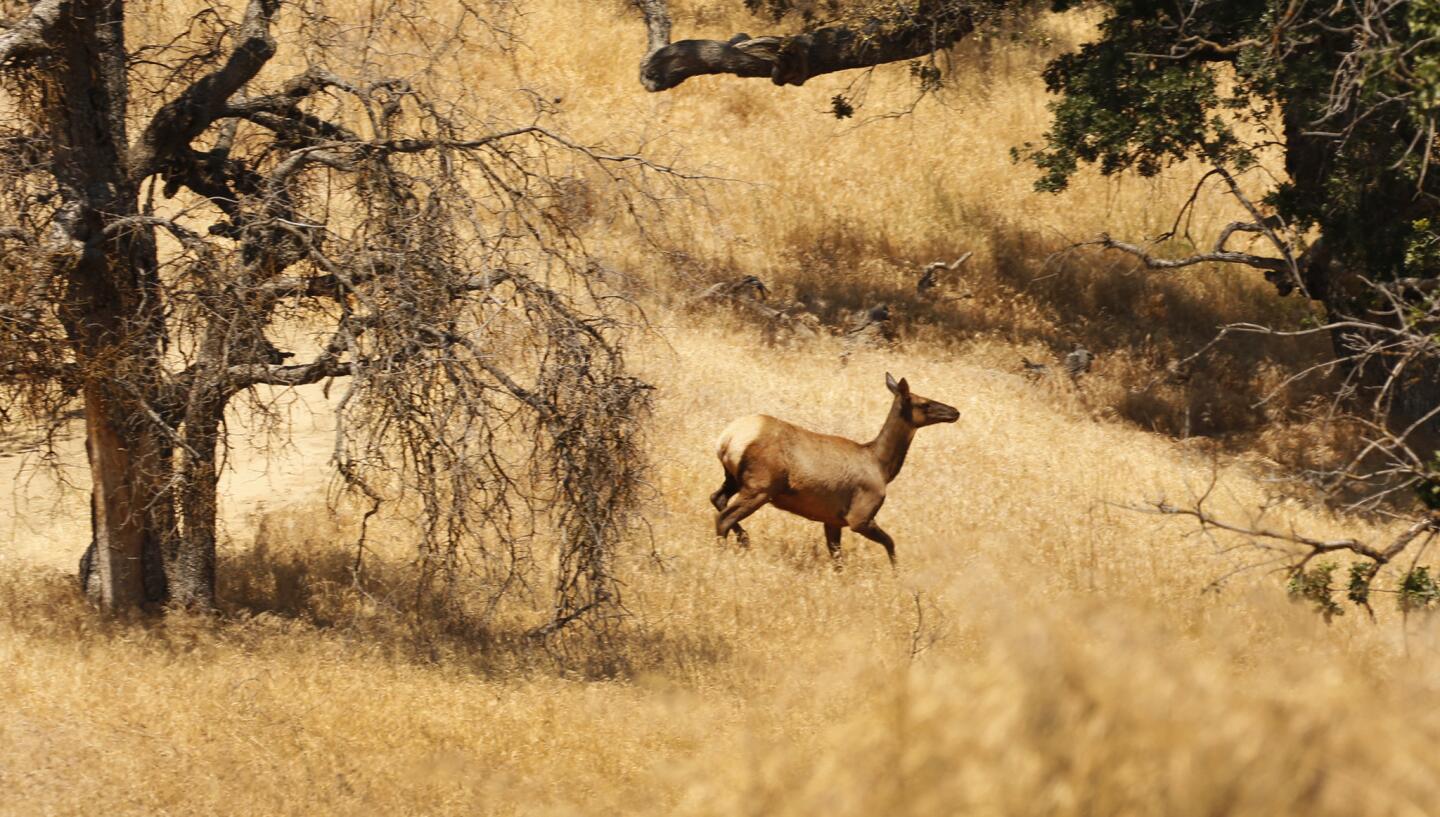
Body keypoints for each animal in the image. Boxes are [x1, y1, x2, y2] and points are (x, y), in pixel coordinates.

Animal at [708, 374, 956, 564]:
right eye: (924, 403)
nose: (955, 411)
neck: (883, 467)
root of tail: (725, 440)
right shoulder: (860, 516)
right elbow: (891, 543)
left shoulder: (832, 519)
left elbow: (837, 559)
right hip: (760, 487)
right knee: (723, 518)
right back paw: (723, 556)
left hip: (734, 479)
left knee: (717, 498)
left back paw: (744, 540)